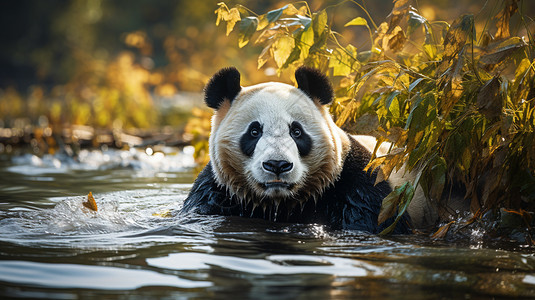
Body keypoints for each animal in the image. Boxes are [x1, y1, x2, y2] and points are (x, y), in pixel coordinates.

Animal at [181, 65, 440, 234]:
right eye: (254, 132)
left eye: (296, 132)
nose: (277, 165)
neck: (280, 203)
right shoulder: (219, 189)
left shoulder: (358, 183)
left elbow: (375, 220)